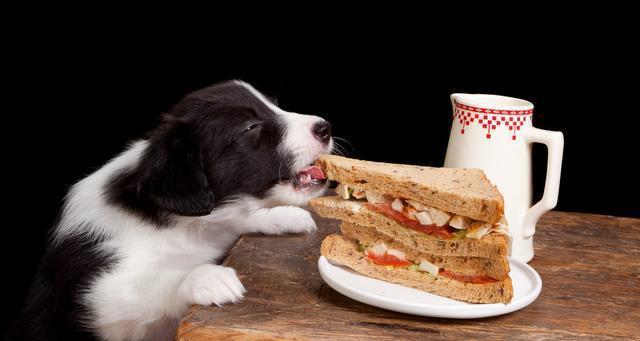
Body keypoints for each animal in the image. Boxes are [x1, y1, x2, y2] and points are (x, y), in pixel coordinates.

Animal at [7, 80, 332, 340]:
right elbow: (145, 284)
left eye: (275, 105)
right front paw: (205, 277)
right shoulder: (93, 296)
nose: (325, 128)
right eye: (250, 127)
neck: (181, 226)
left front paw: (281, 215)